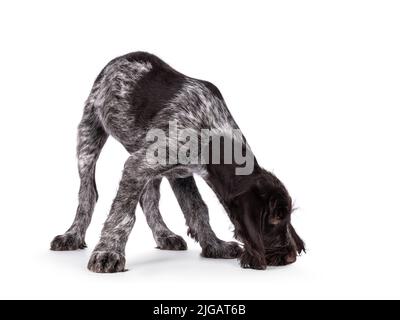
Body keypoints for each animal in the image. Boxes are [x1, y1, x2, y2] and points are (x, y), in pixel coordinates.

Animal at [51, 52, 304, 272]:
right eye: (275, 218)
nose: (291, 257)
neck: (214, 135)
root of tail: (119, 58)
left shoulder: (179, 172)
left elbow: (197, 208)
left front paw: (214, 245)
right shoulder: (140, 164)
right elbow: (122, 215)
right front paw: (108, 253)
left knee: (149, 199)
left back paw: (164, 235)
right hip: (89, 134)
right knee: (88, 193)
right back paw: (72, 235)